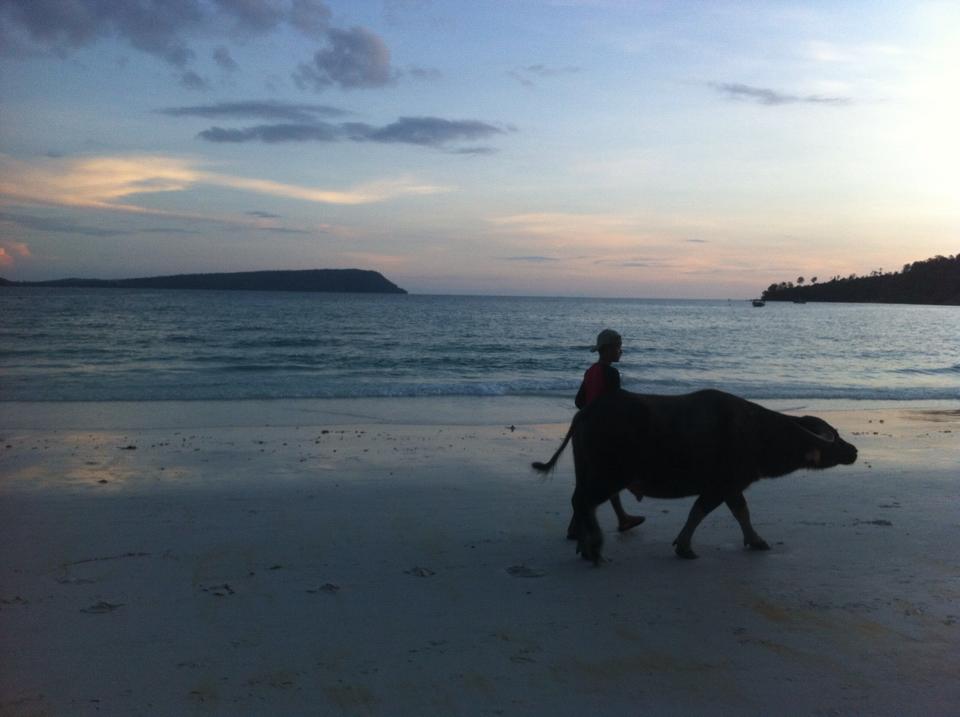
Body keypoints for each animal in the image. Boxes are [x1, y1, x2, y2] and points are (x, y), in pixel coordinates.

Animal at [532, 389, 858, 563]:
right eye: (834, 437)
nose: (853, 450)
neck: (756, 432)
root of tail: (585, 413)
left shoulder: (731, 487)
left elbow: (741, 512)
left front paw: (755, 540)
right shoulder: (721, 486)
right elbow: (700, 511)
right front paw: (685, 547)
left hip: (587, 473)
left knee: (578, 501)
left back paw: (583, 544)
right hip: (608, 476)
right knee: (584, 502)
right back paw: (594, 548)